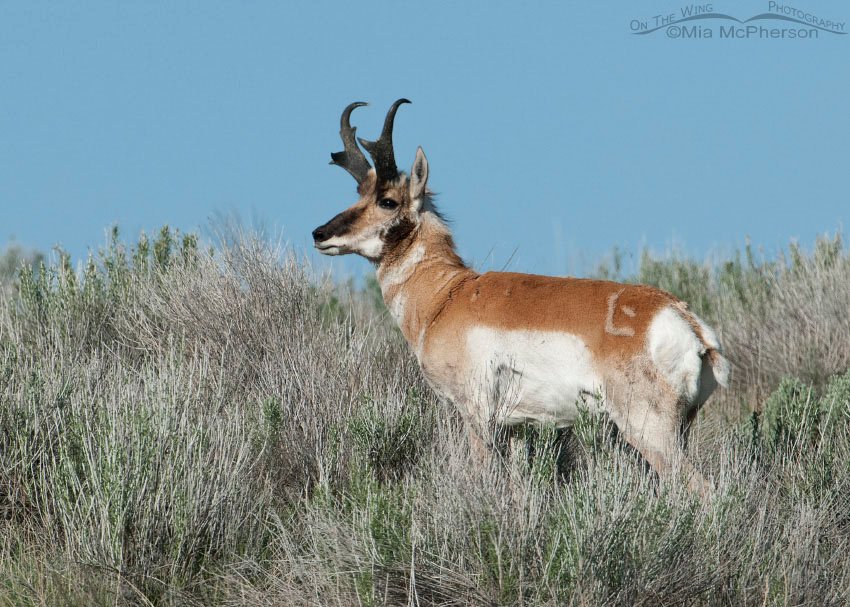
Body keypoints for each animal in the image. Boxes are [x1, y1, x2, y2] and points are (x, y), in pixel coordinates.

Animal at [312, 99, 729, 495]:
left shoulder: (477, 416)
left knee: (702, 489)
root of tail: (685, 322)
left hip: (648, 430)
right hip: (677, 430)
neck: (447, 295)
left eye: (387, 200)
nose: (320, 234)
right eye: (359, 193)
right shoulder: (514, 427)